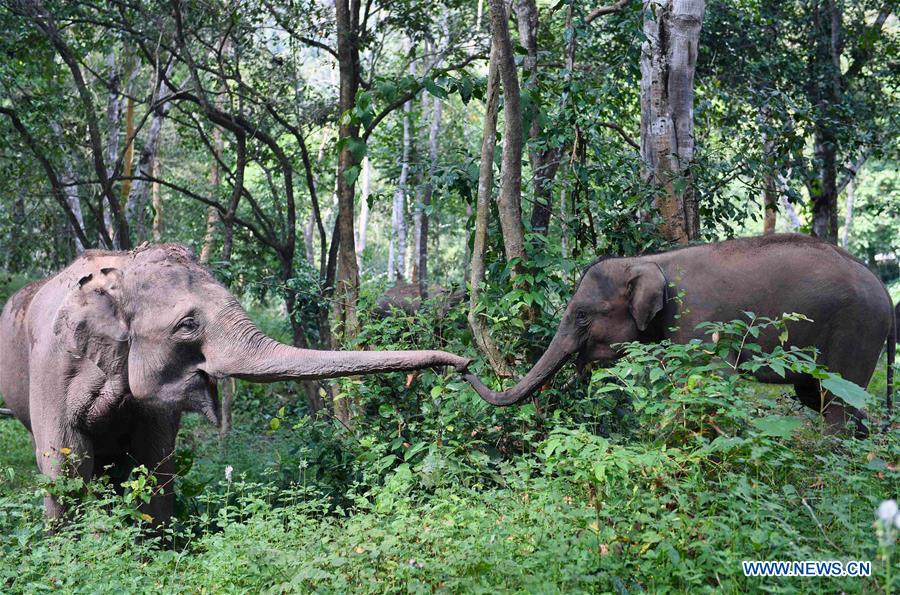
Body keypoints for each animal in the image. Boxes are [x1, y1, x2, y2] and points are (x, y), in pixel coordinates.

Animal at [0, 244, 464, 524]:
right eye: (188, 325)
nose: (463, 363)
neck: (120, 271)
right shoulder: (51, 365)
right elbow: (66, 463)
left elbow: (155, 462)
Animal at [464, 234, 892, 438]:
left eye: (582, 315)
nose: (465, 364)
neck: (650, 260)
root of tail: (886, 292)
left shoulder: (700, 321)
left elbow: (710, 381)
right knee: (822, 399)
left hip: (857, 331)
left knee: (836, 403)